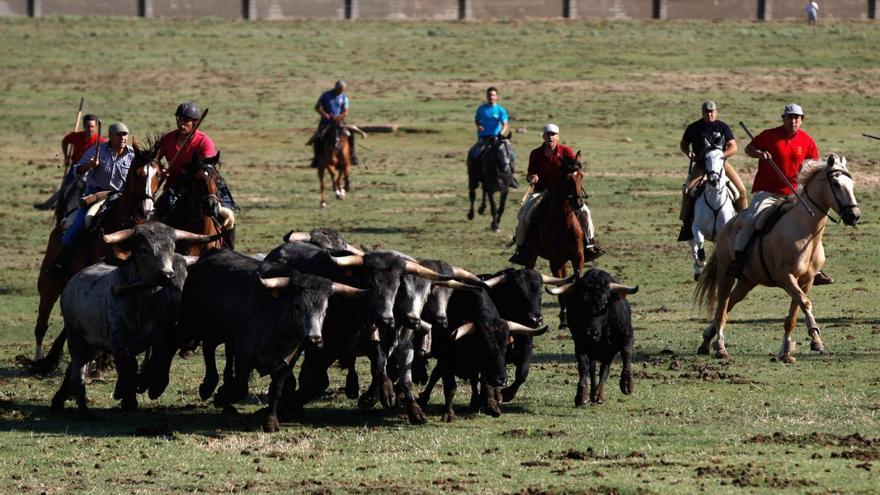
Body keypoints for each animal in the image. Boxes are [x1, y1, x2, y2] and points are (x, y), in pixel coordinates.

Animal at [31, 141, 162, 362]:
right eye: (138, 173)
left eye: (158, 175)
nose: (146, 209)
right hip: (49, 284)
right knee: (42, 322)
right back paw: (40, 358)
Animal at [520, 153, 588, 328]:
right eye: (567, 178)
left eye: (581, 175)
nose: (579, 203)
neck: (563, 221)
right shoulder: (556, 260)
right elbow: (560, 285)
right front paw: (564, 319)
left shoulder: (578, 255)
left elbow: (576, 280)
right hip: (531, 254)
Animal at [692, 145, 740, 280]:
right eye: (705, 157)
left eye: (722, 157)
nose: (713, 179)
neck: (714, 202)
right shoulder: (695, 226)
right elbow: (699, 241)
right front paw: (702, 260)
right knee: (693, 247)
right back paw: (698, 270)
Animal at [696, 155, 860, 364]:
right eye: (837, 184)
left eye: (852, 184)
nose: (854, 216)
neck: (806, 233)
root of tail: (727, 226)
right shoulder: (786, 278)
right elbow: (805, 303)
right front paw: (814, 335)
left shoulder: (806, 281)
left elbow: (794, 314)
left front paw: (790, 350)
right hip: (726, 275)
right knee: (721, 310)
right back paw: (720, 348)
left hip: (747, 281)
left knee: (730, 304)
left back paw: (706, 340)